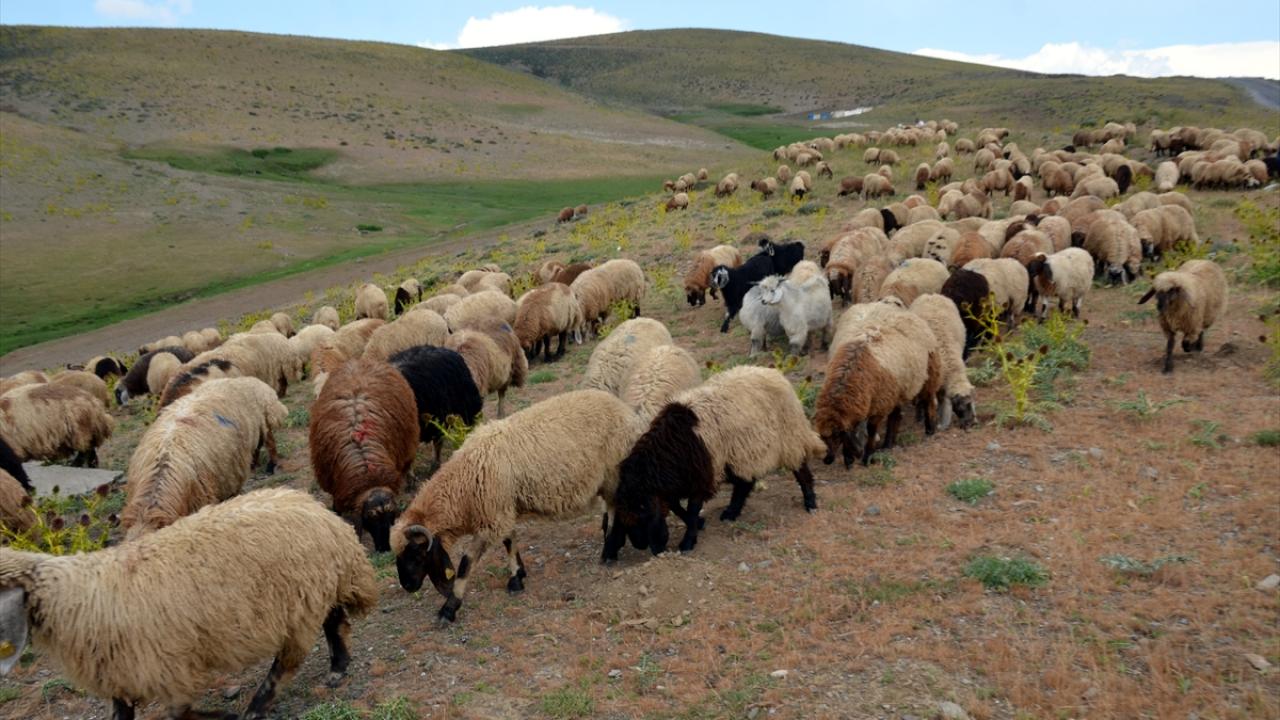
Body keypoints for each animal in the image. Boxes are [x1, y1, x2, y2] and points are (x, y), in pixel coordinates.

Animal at [0, 487, 377, 719]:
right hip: (315, 590)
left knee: (287, 661)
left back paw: (256, 706)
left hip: (300, 602)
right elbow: (124, 711)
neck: (78, 599)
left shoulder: (165, 665)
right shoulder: (124, 667)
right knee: (335, 621)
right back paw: (338, 665)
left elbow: (177, 711)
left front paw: (221, 715)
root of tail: (320, 512)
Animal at [121, 377, 288, 539]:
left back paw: (272, 465)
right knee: (257, 446)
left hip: (264, 421)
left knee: (269, 442)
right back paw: (254, 465)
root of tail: (246, 379)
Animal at [392, 390, 645, 622]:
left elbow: (466, 563)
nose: (407, 586)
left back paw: (609, 552)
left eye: (416, 554)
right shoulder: (501, 509)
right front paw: (519, 574)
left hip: (612, 472)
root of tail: (626, 410)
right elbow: (509, 541)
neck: (465, 481)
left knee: (613, 509)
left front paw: (450, 607)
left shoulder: (493, 516)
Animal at [604, 366, 823, 561]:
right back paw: (731, 512)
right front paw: (699, 525)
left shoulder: (700, 478)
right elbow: (678, 507)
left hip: (790, 436)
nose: (640, 545)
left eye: (642, 512)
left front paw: (688, 542)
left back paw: (810, 503)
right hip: (740, 454)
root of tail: (774, 373)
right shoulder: (680, 483)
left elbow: (692, 510)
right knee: (745, 482)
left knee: (801, 470)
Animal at [816, 307, 941, 467]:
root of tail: (907, 313)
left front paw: (867, 457)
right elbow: (853, 430)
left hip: (930, 373)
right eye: (822, 437)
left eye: (836, 434)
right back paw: (888, 443)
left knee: (929, 400)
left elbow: (871, 430)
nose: (827, 459)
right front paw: (849, 458)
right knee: (896, 416)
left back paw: (930, 428)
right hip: (897, 390)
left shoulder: (879, 406)